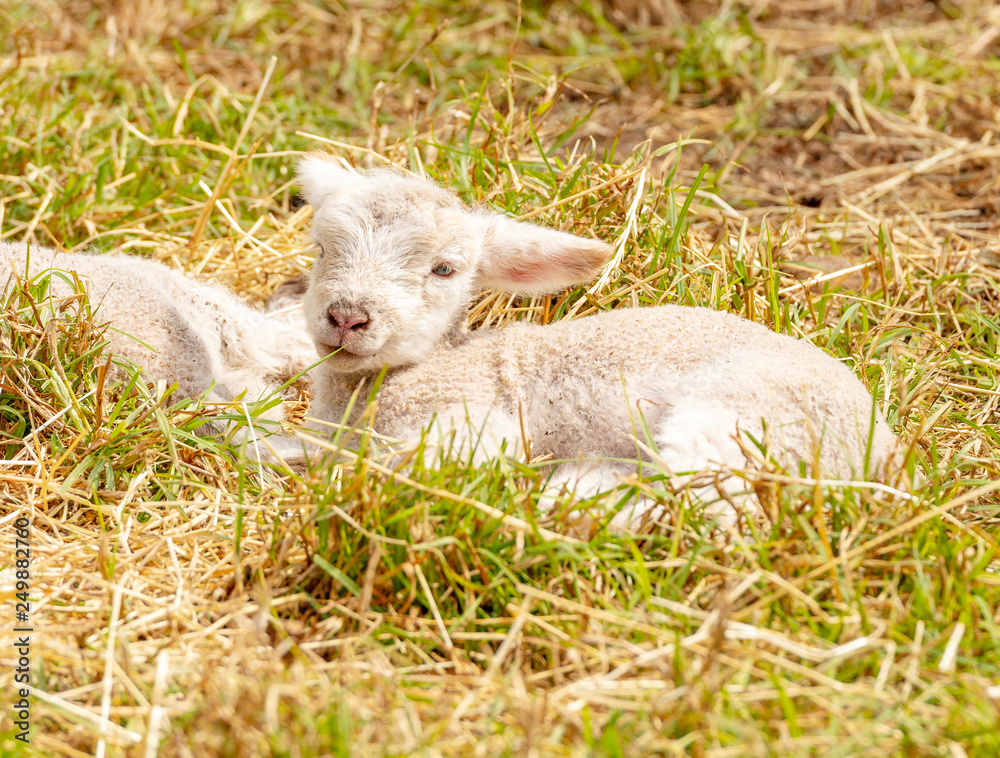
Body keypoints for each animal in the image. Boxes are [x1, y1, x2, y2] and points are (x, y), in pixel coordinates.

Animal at [291, 156, 905, 528]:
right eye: (320, 248)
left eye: (444, 269)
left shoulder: (466, 424)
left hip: (735, 426)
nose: (347, 318)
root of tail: (883, 452)